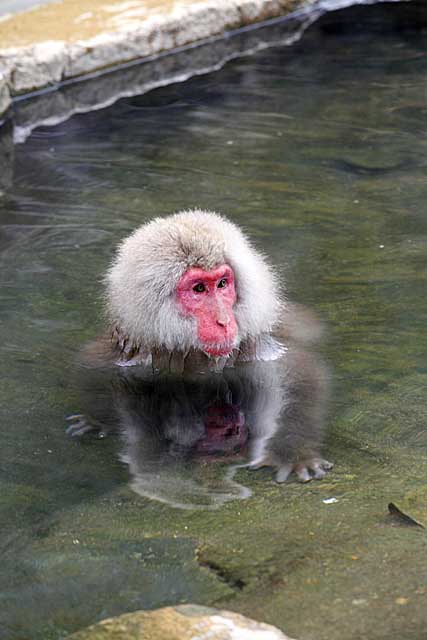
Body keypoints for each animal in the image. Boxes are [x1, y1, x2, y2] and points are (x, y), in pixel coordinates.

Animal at [70, 210, 332, 490]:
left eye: (222, 283)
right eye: (198, 288)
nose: (224, 322)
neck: (193, 355)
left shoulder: (256, 351)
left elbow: (304, 374)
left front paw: (292, 452)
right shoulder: (128, 354)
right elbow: (89, 366)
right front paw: (97, 420)